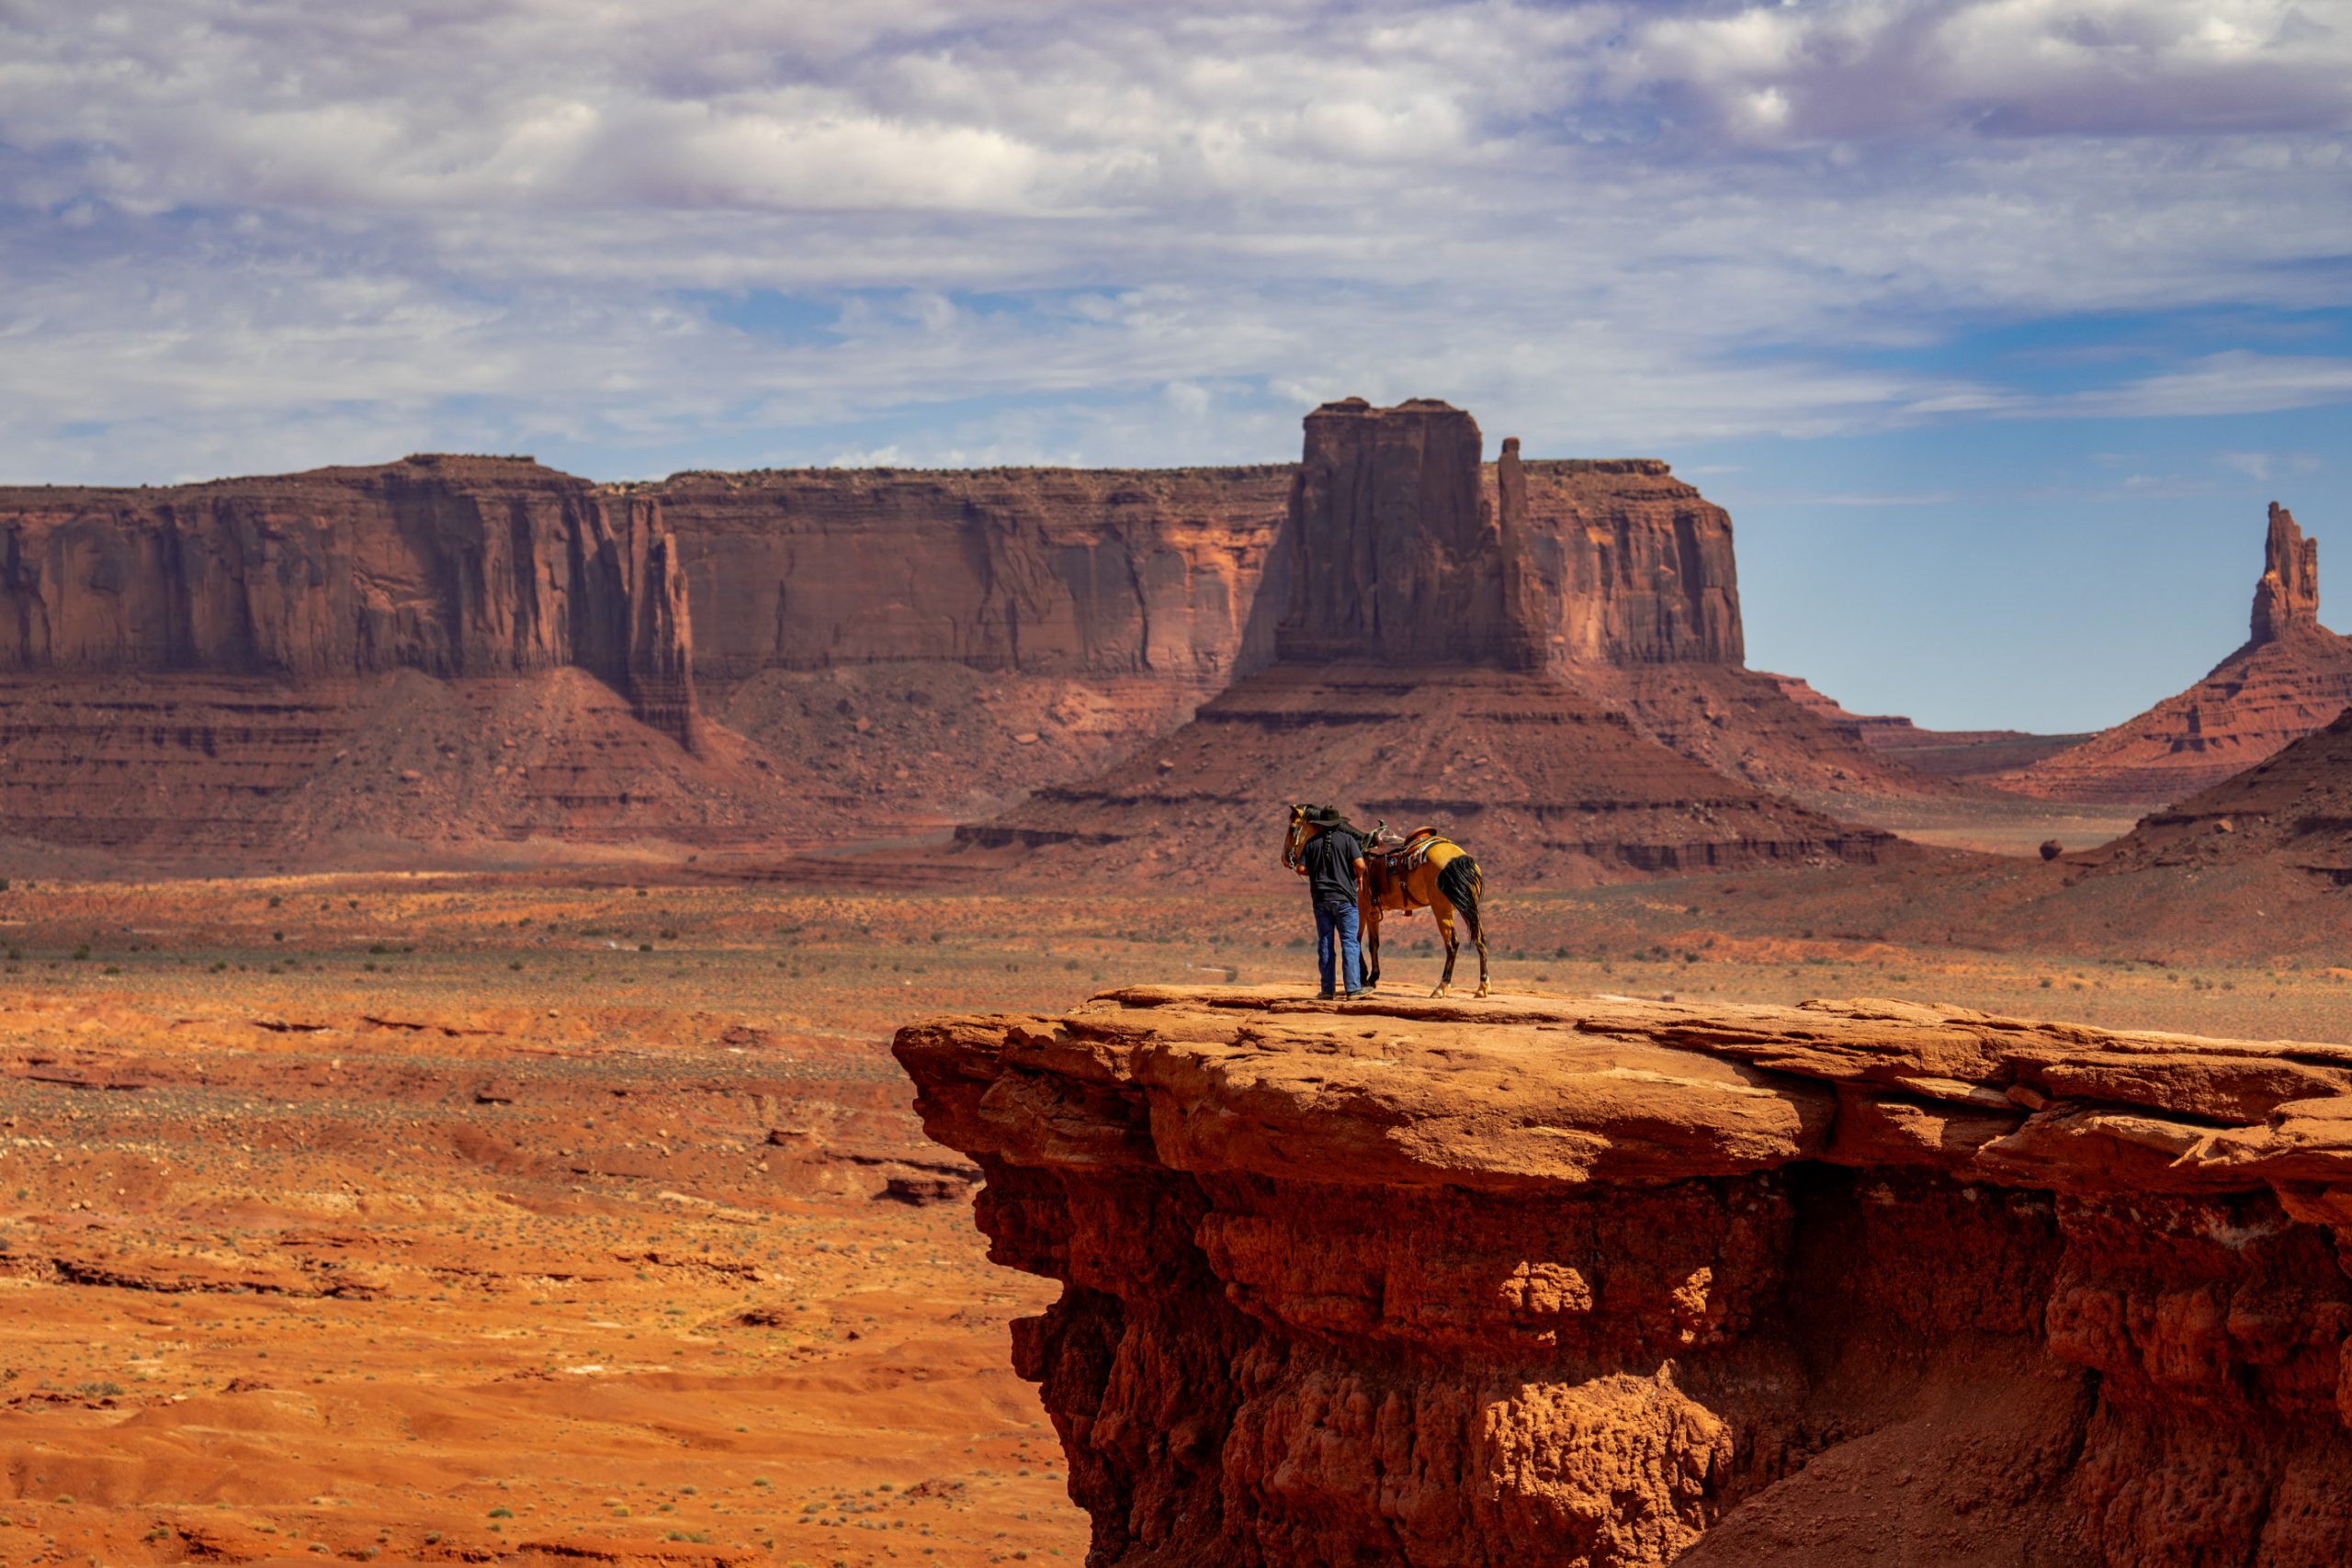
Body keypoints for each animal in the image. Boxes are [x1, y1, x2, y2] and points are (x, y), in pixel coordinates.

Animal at [1281, 803, 1490, 999]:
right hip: (1467, 905)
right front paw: (1372, 977)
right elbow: (1374, 943)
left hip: (1442, 908)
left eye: (1292, 828)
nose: (1284, 858)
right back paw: (1482, 987)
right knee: (1480, 939)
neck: (1360, 848)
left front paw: (1364, 978)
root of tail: (1459, 857)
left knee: (1452, 943)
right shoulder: (1373, 911)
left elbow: (1355, 939)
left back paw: (1441, 987)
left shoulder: (1360, 906)